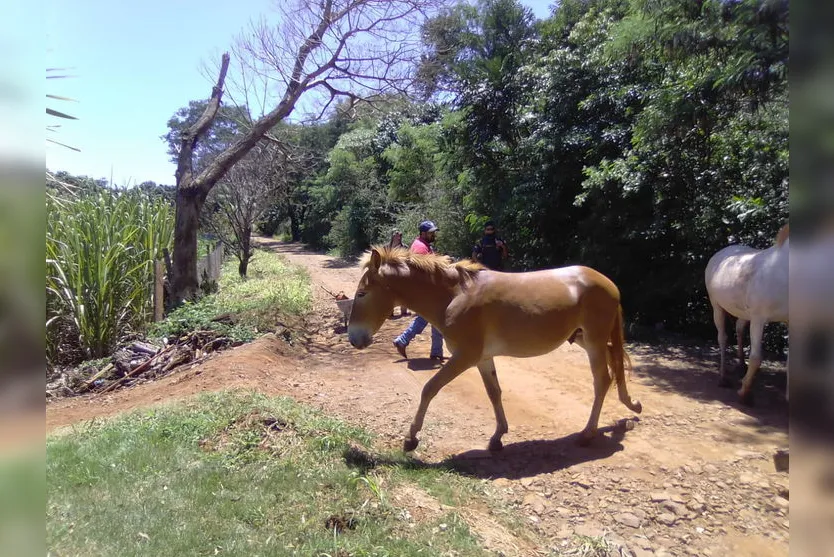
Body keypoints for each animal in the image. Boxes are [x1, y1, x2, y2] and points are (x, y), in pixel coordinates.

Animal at [342, 248, 636, 452]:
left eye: (362, 294)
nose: (354, 338)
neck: (454, 297)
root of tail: (609, 283)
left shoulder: (465, 357)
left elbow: (429, 388)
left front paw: (411, 437)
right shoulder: (482, 358)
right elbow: (494, 393)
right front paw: (497, 437)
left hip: (594, 341)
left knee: (602, 380)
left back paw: (588, 434)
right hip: (584, 339)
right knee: (614, 366)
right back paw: (631, 405)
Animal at [704, 223, 788, 404]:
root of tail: (723, 252)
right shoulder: (758, 318)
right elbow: (756, 358)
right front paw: (745, 393)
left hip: (742, 313)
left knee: (739, 329)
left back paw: (741, 365)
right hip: (716, 306)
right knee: (723, 338)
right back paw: (723, 378)